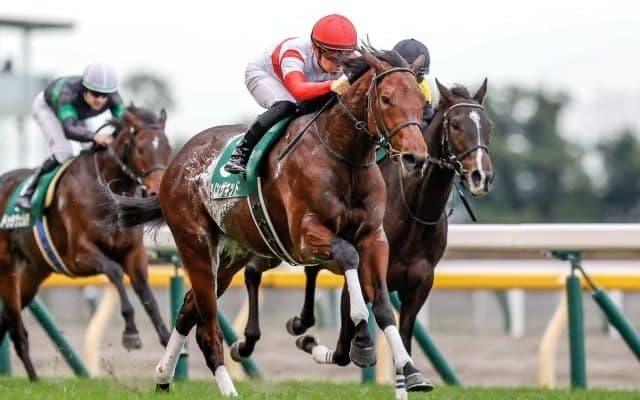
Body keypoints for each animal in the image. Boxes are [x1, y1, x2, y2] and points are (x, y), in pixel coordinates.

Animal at [0, 105, 172, 380]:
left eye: (167, 147)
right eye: (140, 149)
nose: (157, 192)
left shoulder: (134, 253)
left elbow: (147, 294)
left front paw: (169, 342)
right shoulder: (79, 255)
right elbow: (114, 272)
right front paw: (131, 332)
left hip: (33, 273)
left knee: (5, 320)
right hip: (7, 269)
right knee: (16, 328)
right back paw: (34, 378)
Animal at [100, 49, 434, 397]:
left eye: (421, 102)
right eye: (386, 98)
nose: (415, 158)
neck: (343, 156)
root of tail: (176, 162)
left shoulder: (374, 237)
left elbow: (382, 304)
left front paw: (411, 371)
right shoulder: (305, 238)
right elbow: (347, 255)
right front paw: (361, 332)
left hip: (231, 255)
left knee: (189, 308)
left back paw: (163, 378)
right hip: (195, 245)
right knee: (207, 329)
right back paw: (228, 390)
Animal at [235, 79, 494, 391]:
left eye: (489, 125)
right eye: (455, 125)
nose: (481, 176)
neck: (412, 209)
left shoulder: (420, 283)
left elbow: (402, 336)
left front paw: (408, 376)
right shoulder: (361, 271)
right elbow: (345, 348)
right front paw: (329, 345)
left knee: (308, 272)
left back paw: (300, 322)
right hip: (278, 242)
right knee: (253, 271)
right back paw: (251, 339)